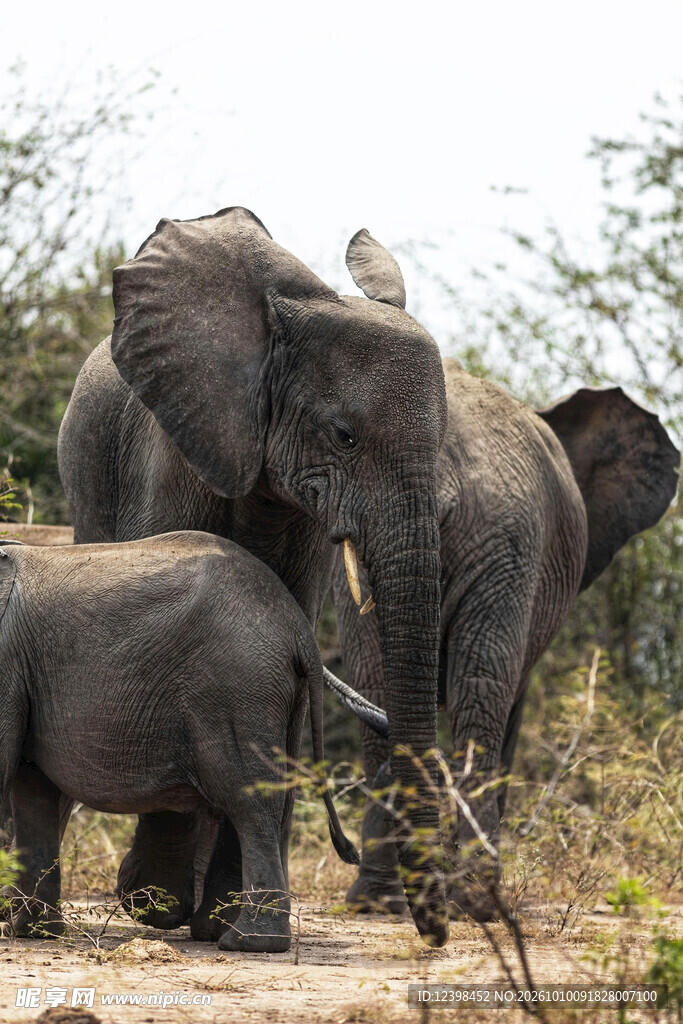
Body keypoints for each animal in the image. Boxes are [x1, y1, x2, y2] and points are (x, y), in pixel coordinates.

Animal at [0, 530, 391, 953]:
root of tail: (300, 632)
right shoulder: (24, 672)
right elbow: (33, 791)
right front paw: (32, 933)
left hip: (236, 689)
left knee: (251, 806)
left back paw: (247, 942)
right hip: (279, 699)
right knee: (271, 804)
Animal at [334, 343, 680, 920]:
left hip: (476, 538)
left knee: (396, 680)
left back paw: (387, 900)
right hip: (508, 537)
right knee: (477, 688)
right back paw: (471, 900)